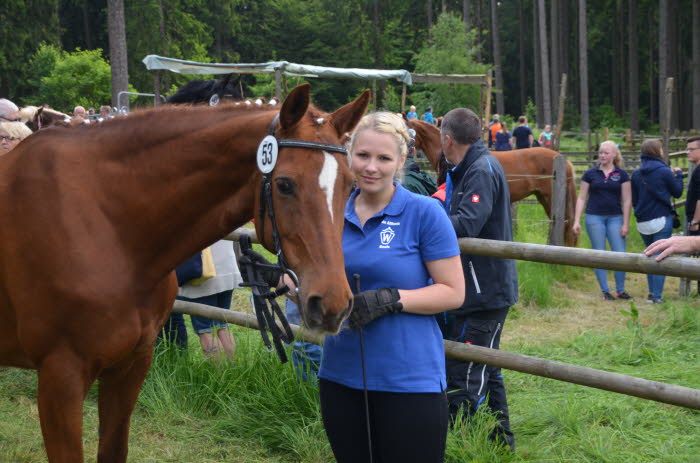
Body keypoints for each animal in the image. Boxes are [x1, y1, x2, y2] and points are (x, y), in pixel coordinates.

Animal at [0, 84, 372, 463]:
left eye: (350, 184)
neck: (107, 225)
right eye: (284, 184)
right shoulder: (60, 380)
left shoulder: (131, 366)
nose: (333, 304)